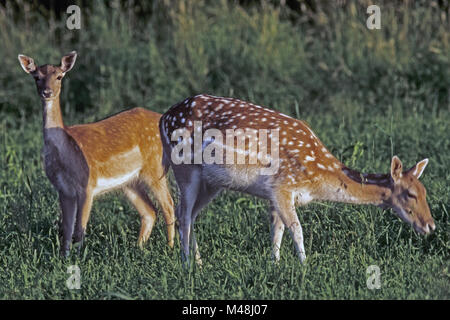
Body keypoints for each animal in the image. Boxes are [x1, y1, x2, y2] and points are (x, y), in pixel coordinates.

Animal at [18, 52, 176, 258]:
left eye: (59, 76)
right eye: (36, 77)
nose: (47, 92)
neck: (65, 155)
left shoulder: (87, 185)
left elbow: (79, 229)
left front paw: (78, 258)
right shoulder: (64, 190)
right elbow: (66, 229)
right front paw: (64, 258)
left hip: (155, 167)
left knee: (169, 206)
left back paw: (171, 249)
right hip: (129, 182)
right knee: (150, 211)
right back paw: (137, 249)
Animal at [159, 94, 436, 264]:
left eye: (425, 192)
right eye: (410, 194)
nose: (431, 225)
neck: (317, 177)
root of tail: (163, 118)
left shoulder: (275, 194)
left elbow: (277, 231)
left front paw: (275, 265)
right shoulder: (281, 186)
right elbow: (296, 229)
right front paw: (304, 267)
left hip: (212, 183)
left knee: (191, 214)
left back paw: (198, 261)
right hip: (185, 168)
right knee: (183, 212)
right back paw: (187, 265)